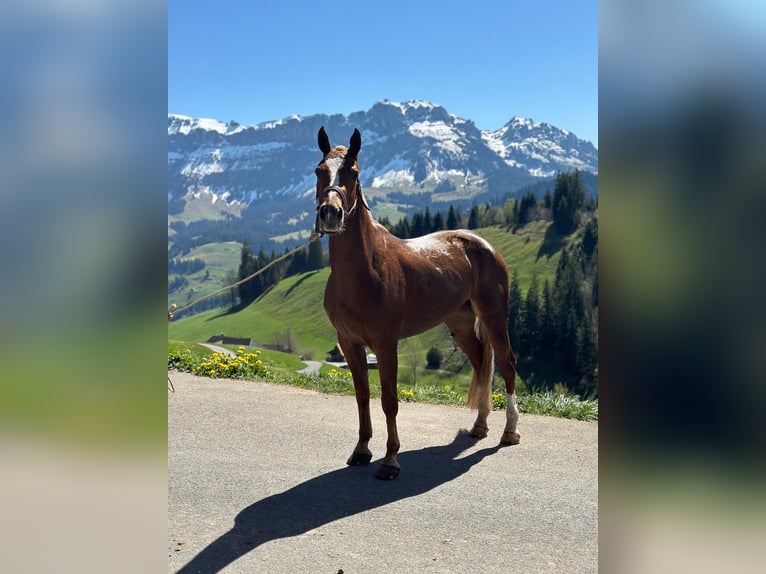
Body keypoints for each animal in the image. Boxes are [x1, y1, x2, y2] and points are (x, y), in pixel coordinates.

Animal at [314, 127, 520, 482]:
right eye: (318, 171)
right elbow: (362, 397)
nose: (330, 214)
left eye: (353, 173)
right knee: (481, 364)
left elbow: (389, 401)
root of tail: (484, 246)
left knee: (506, 364)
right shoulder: (350, 343)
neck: (365, 270)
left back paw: (509, 431)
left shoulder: (386, 344)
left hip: (494, 317)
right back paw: (480, 425)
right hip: (460, 324)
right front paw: (361, 450)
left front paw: (390, 461)